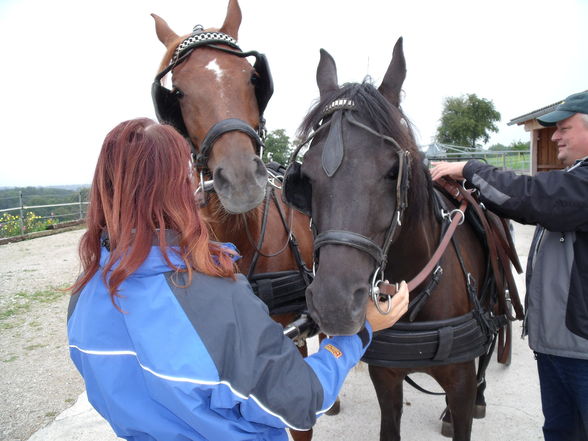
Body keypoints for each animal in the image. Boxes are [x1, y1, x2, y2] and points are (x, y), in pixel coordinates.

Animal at [282, 39, 520, 438]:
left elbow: (465, 401)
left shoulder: (460, 382)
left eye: (394, 170)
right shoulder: (386, 378)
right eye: (306, 178)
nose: (333, 304)